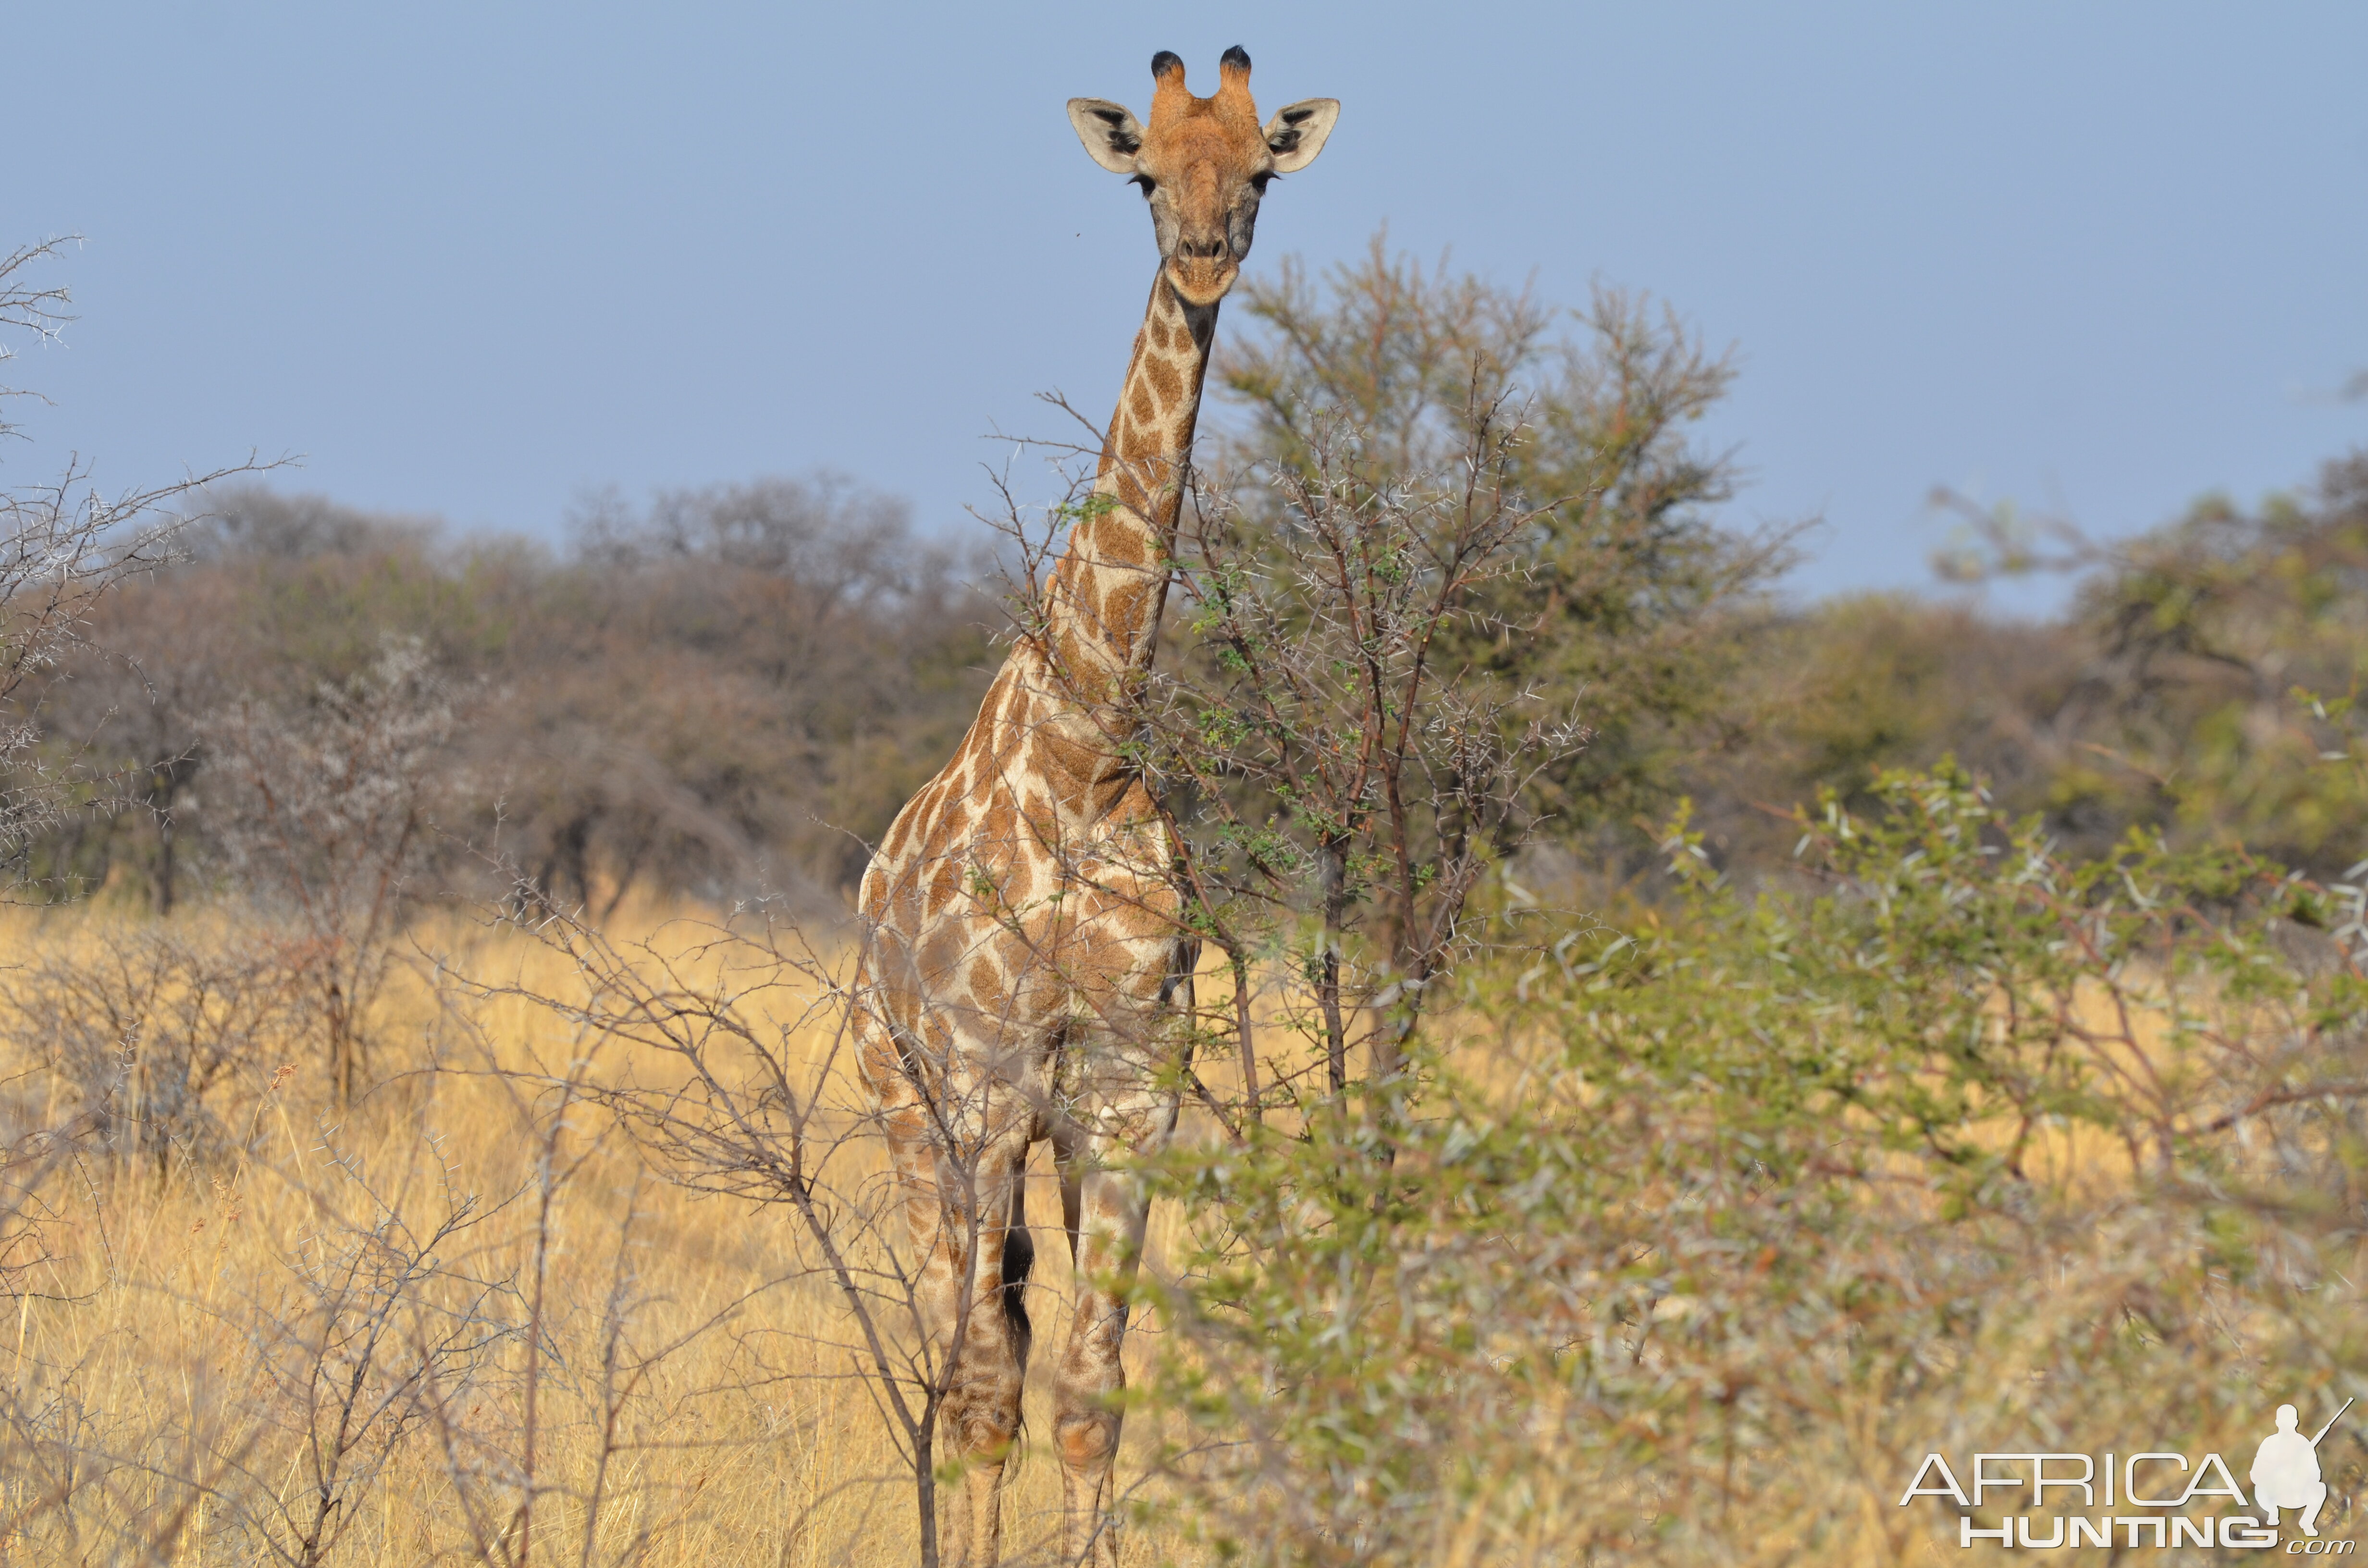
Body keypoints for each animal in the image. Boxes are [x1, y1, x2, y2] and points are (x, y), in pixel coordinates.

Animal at [852, 46, 1335, 1568]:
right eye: (1145, 177)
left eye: (1258, 173)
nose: (1205, 257)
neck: (1085, 753)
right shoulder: (989, 1091)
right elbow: (988, 1393)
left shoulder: (1131, 1095)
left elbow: (1091, 1391)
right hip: (908, 1111)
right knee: (957, 1354)